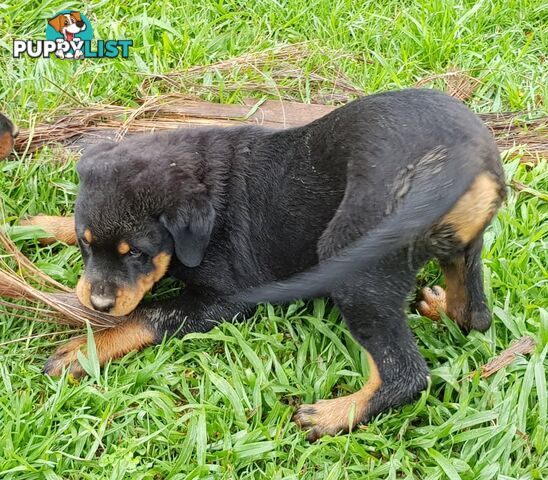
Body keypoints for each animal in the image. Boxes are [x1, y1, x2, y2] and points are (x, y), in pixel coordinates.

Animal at [34, 89, 506, 438]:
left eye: (137, 253)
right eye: (85, 245)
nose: (97, 304)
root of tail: (460, 164)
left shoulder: (225, 301)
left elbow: (148, 316)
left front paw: (82, 351)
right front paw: (39, 224)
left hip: (354, 258)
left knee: (406, 374)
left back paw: (332, 416)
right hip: (463, 246)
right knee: (473, 315)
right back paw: (438, 306)